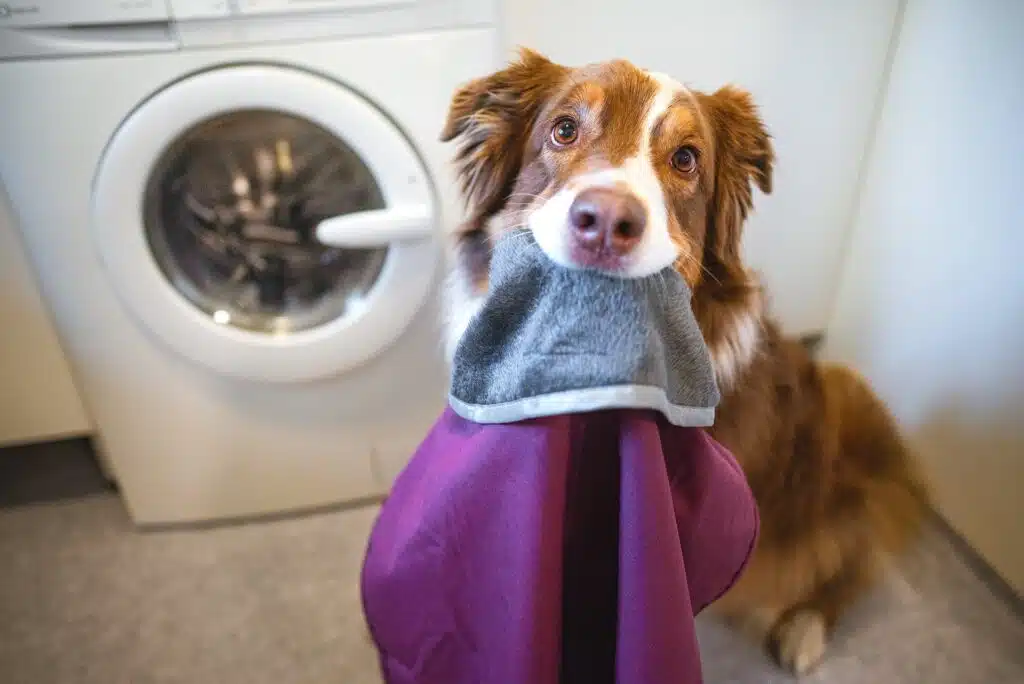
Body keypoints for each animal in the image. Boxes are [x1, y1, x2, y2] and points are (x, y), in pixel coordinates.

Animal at [437, 48, 931, 675]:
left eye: (686, 159)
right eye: (564, 129)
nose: (606, 222)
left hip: (845, 421)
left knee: (846, 561)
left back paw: (805, 630)